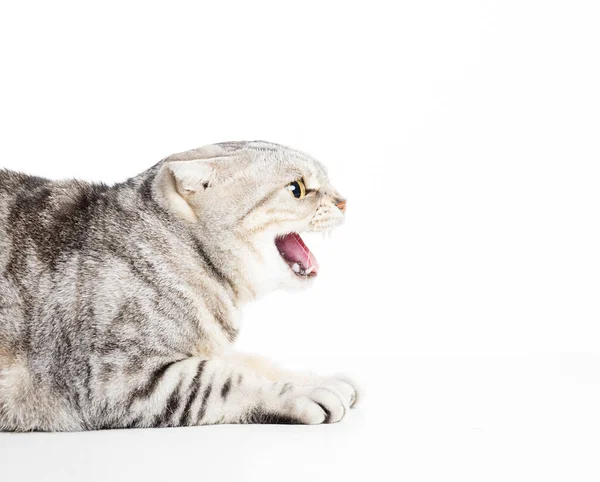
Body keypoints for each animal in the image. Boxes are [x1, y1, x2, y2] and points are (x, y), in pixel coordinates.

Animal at [0, 141, 360, 432]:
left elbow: (252, 361)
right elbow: (223, 380)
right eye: (296, 189)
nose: (344, 202)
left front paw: (316, 377)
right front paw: (301, 392)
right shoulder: (115, 380)